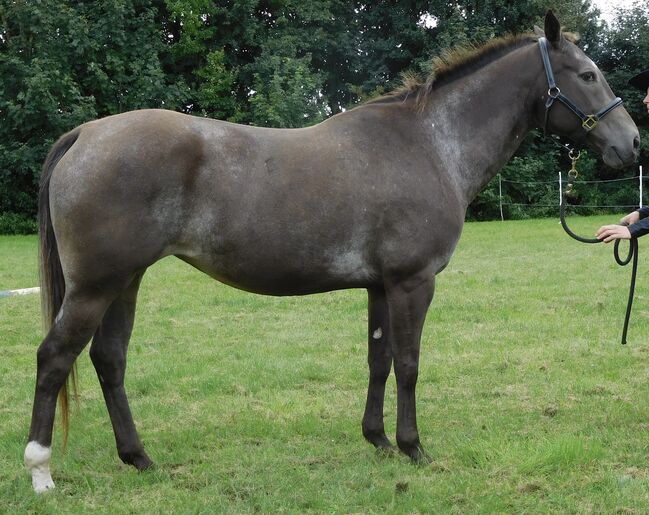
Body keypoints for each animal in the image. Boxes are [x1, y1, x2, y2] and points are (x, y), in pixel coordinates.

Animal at [24, 11, 636, 492]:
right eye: (588, 74)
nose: (630, 144)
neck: (430, 143)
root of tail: (85, 134)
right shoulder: (413, 282)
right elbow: (409, 363)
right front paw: (414, 447)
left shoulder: (380, 286)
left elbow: (379, 359)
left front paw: (378, 441)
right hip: (96, 286)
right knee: (55, 357)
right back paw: (41, 471)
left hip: (125, 281)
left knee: (109, 359)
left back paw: (140, 459)